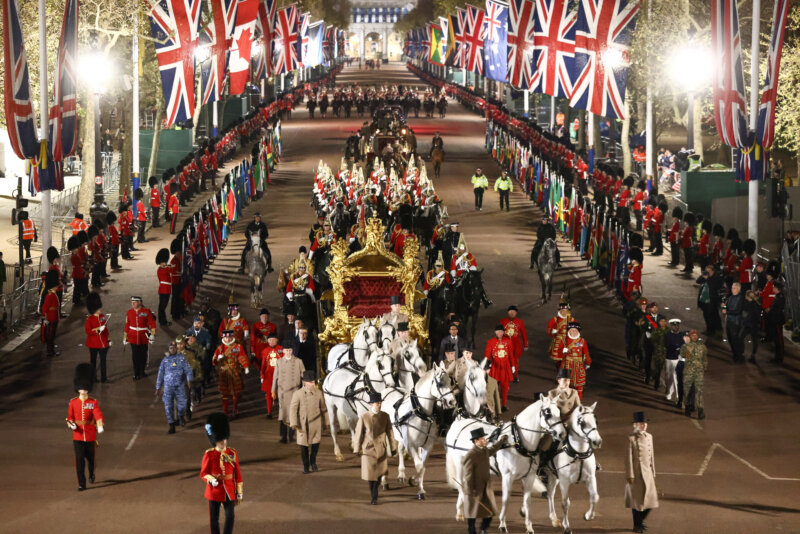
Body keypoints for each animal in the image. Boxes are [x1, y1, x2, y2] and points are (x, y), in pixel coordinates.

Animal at [386, 364, 456, 502]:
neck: (419, 412)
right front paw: (419, 487)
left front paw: (416, 482)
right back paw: (384, 481)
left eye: (451, 382)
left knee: (400, 450)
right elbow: (419, 465)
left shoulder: (427, 445)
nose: (452, 402)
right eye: (440, 383)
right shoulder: (411, 445)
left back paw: (401, 474)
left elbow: (422, 466)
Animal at [444, 398, 568, 534]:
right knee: (461, 486)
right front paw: (502, 525)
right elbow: (506, 499)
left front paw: (529, 526)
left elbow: (527, 501)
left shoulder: (529, 476)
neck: (517, 441)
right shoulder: (508, 476)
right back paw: (460, 512)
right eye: (547, 413)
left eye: (559, 411)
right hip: (460, 465)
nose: (562, 434)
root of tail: (459, 420)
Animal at [544, 404, 600, 532]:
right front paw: (567, 526)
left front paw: (589, 515)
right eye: (582, 422)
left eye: (596, 420)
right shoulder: (564, 481)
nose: (597, 441)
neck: (578, 454)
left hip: (554, 476)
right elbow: (565, 503)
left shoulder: (590, 477)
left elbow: (594, 497)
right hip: (552, 475)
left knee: (550, 494)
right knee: (550, 494)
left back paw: (554, 519)